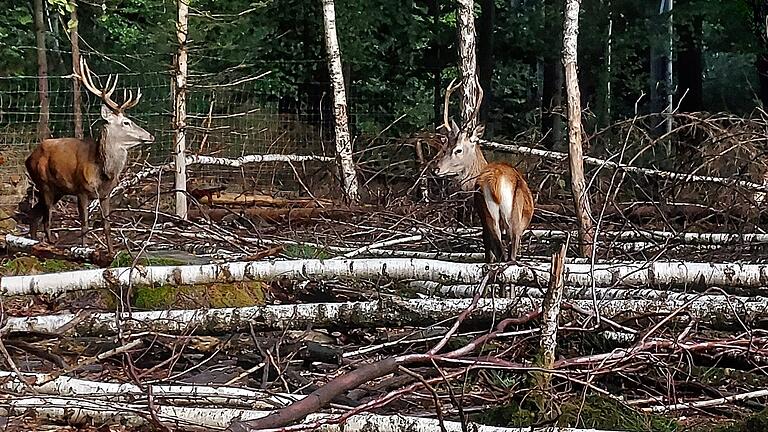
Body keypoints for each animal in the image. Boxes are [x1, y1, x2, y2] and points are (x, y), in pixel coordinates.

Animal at [24, 57, 154, 253]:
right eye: (126, 122)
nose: (150, 136)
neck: (103, 171)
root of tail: (28, 158)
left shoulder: (105, 194)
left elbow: (106, 225)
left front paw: (111, 251)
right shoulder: (81, 190)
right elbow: (84, 224)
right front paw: (84, 250)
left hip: (58, 190)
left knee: (35, 214)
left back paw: (32, 243)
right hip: (44, 182)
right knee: (47, 218)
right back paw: (48, 243)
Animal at [432, 79, 536, 264]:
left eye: (458, 149)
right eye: (445, 147)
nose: (435, 169)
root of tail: (496, 181)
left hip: (494, 216)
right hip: (503, 217)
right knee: (506, 255)